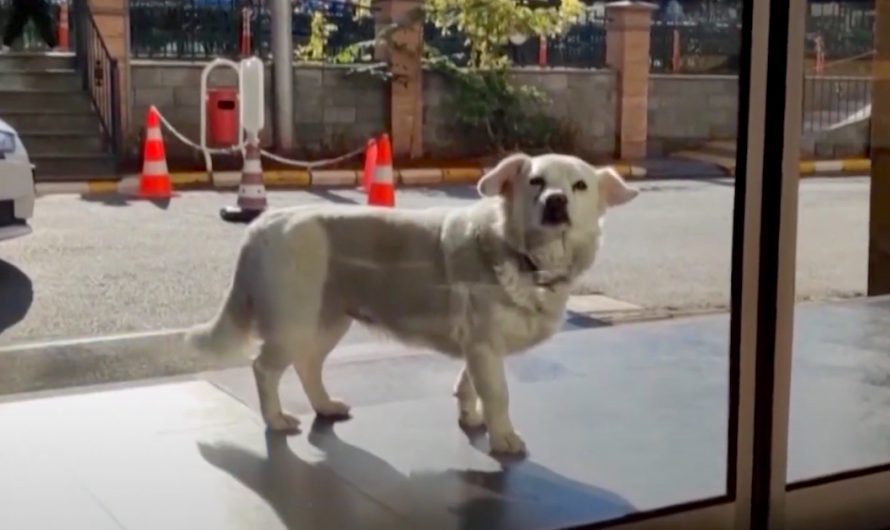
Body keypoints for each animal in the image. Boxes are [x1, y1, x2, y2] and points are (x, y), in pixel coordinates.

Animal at [186, 153, 640, 454]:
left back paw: (324, 406)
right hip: (290, 321)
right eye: (536, 182)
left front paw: (470, 417)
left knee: (308, 364)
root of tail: (263, 224)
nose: (556, 202)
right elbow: (498, 394)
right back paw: (275, 419)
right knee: (264, 368)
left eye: (579, 186)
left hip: (329, 320)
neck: (524, 255)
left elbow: (468, 384)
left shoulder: (479, 347)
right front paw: (503, 437)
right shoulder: (484, 346)